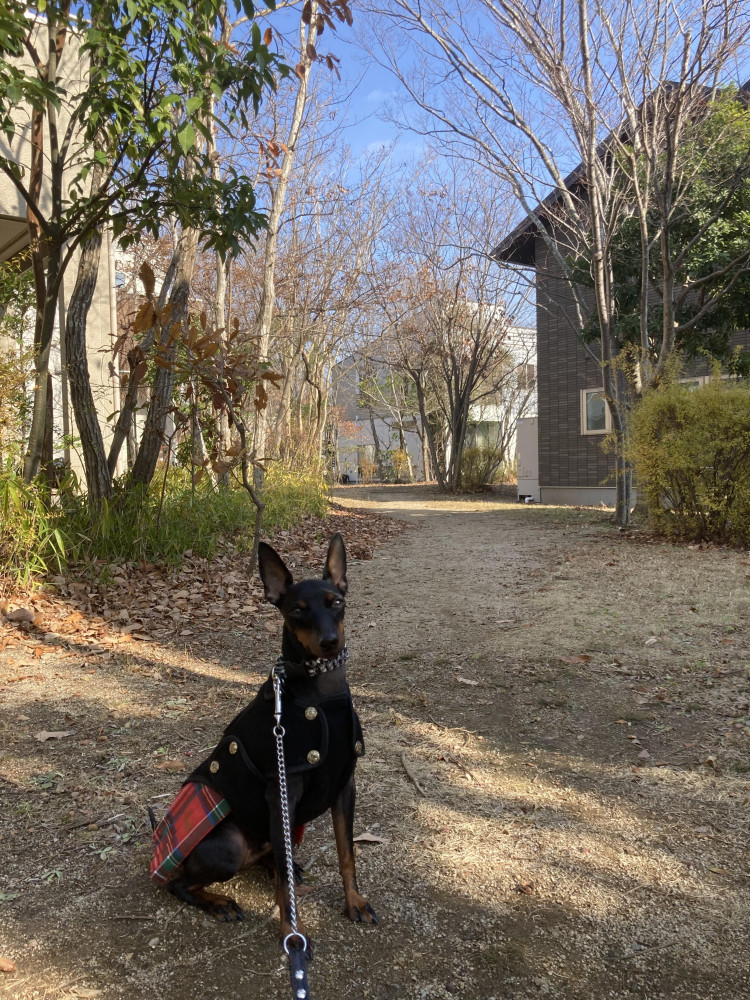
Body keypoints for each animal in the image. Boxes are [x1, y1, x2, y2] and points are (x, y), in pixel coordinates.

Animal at [150, 532, 378, 944]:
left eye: (336, 603)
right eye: (297, 610)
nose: (329, 641)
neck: (322, 695)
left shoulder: (344, 787)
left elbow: (346, 853)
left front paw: (354, 901)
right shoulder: (281, 793)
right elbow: (287, 885)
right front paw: (292, 930)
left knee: (275, 857)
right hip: (230, 844)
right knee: (180, 884)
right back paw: (220, 902)